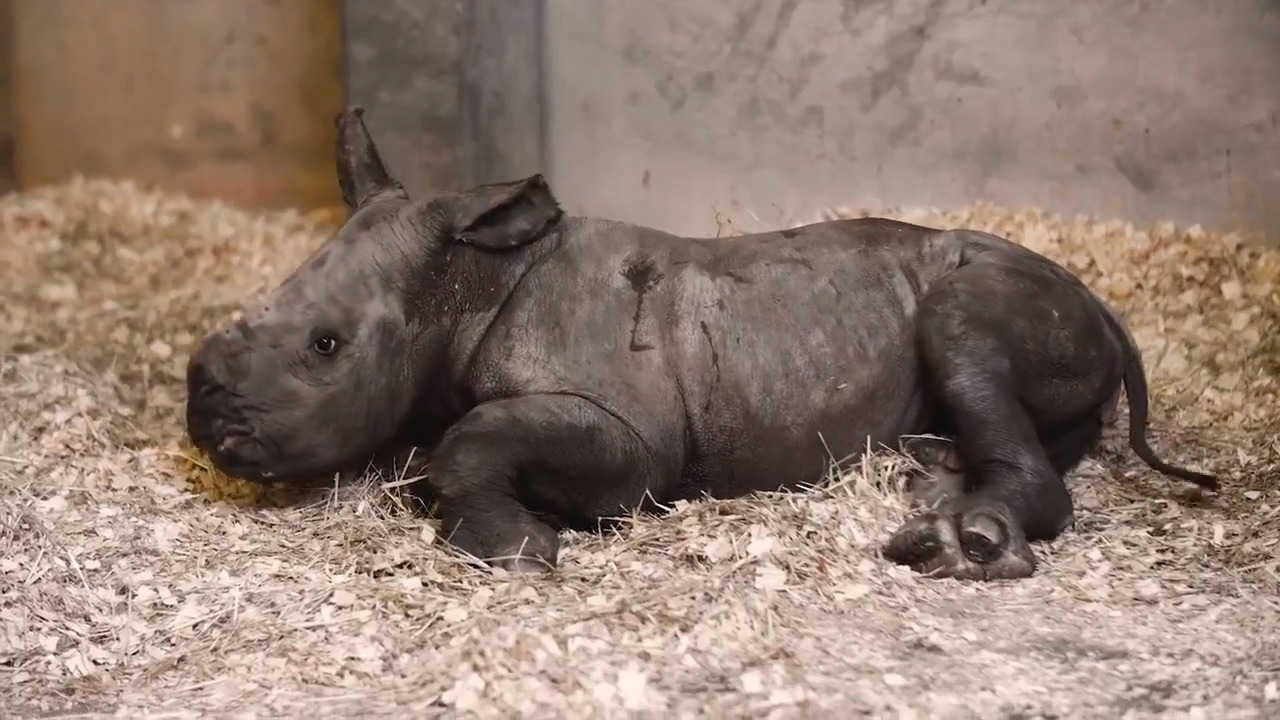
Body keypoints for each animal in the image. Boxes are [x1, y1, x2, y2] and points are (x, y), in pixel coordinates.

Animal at [184, 106, 1218, 581]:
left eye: (326, 347)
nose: (205, 405)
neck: (468, 286)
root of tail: (1104, 301)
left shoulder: (634, 441)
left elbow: (471, 442)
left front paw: (520, 549)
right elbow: (432, 445)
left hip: (996, 292)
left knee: (962, 330)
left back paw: (955, 538)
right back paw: (930, 474)